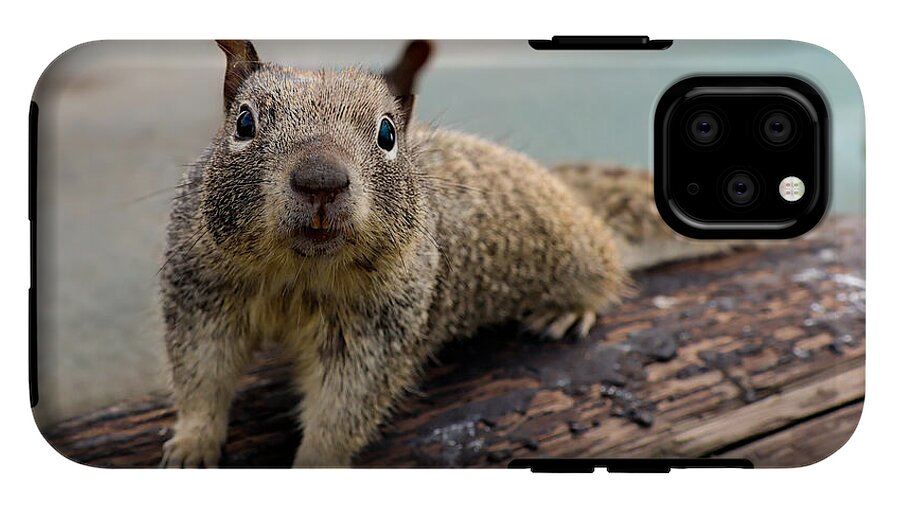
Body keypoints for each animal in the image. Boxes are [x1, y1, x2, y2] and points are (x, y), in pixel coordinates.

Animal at [160, 40, 728, 467]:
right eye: (244, 123)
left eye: (388, 133)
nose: (321, 180)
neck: (299, 274)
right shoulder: (203, 293)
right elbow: (201, 374)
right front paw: (191, 444)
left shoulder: (378, 330)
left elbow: (343, 409)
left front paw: (313, 464)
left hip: (578, 252)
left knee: (605, 267)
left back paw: (569, 309)